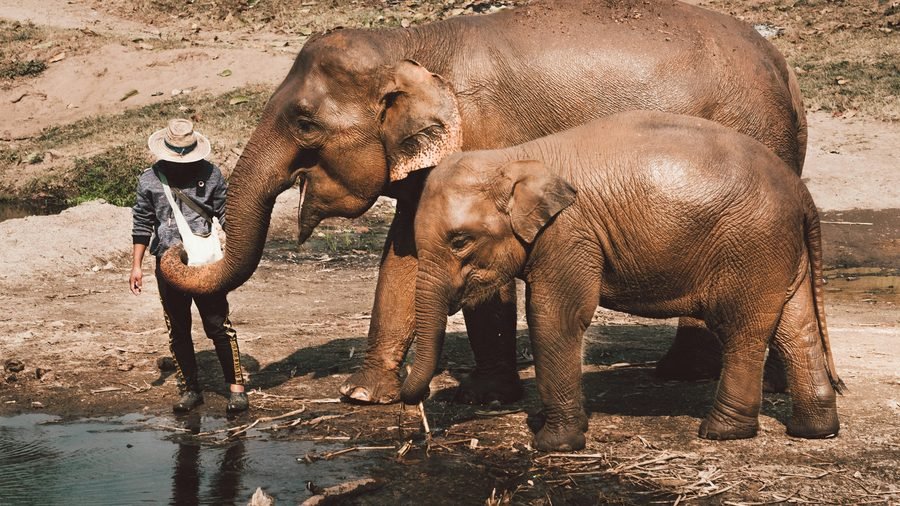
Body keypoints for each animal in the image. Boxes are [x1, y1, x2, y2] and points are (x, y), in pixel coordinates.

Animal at [160, 0, 807, 405]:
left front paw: (486, 397)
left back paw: (692, 374)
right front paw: (362, 395)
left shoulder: (487, 139)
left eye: (304, 121)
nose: (174, 249)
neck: (411, 46)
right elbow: (403, 257)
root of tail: (785, 67)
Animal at [401, 111, 844, 452]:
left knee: (742, 330)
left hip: (751, 245)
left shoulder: (569, 233)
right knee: (795, 326)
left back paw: (721, 432)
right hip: (779, 249)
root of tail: (802, 192)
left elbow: (556, 317)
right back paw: (815, 431)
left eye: (460, 241)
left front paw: (554, 445)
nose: (417, 409)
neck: (515, 158)